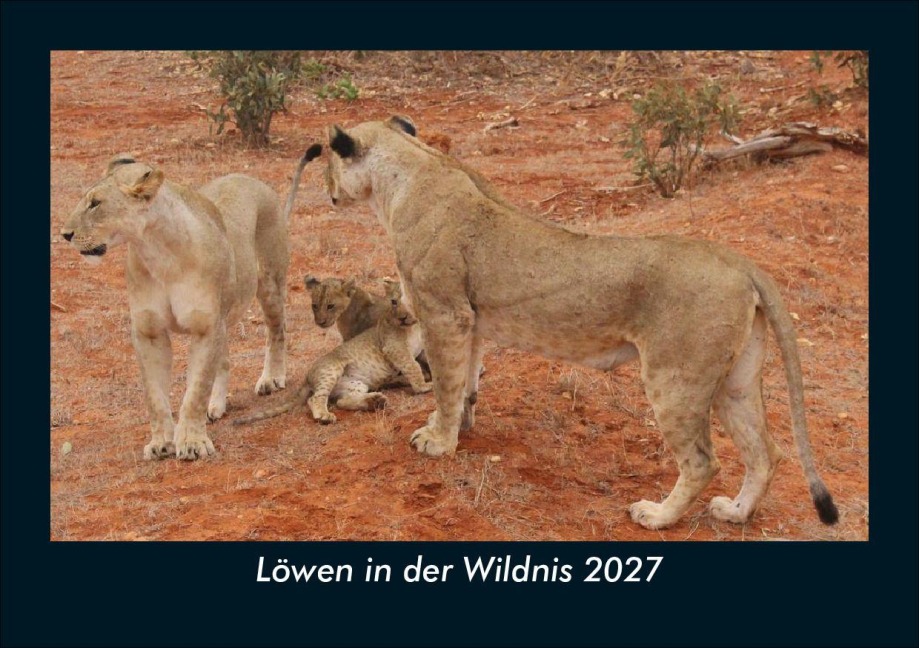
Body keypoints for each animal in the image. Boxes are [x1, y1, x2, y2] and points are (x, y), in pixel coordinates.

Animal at [60, 144, 322, 460]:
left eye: (96, 203)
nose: (64, 234)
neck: (159, 253)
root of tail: (252, 180)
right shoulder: (149, 331)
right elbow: (155, 396)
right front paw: (162, 442)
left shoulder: (205, 326)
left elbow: (195, 391)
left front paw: (193, 442)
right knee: (224, 360)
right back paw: (216, 406)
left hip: (269, 285)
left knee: (277, 331)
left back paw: (271, 378)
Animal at [312, 115, 839, 530]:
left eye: (326, 163)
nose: (328, 193)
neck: (407, 174)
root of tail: (738, 261)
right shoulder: (469, 318)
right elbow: (465, 384)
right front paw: (463, 427)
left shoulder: (443, 311)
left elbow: (443, 383)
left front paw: (437, 442)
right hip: (735, 380)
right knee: (767, 453)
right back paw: (735, 512)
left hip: (676, 377)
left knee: (702, 462)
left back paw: (656, 516)